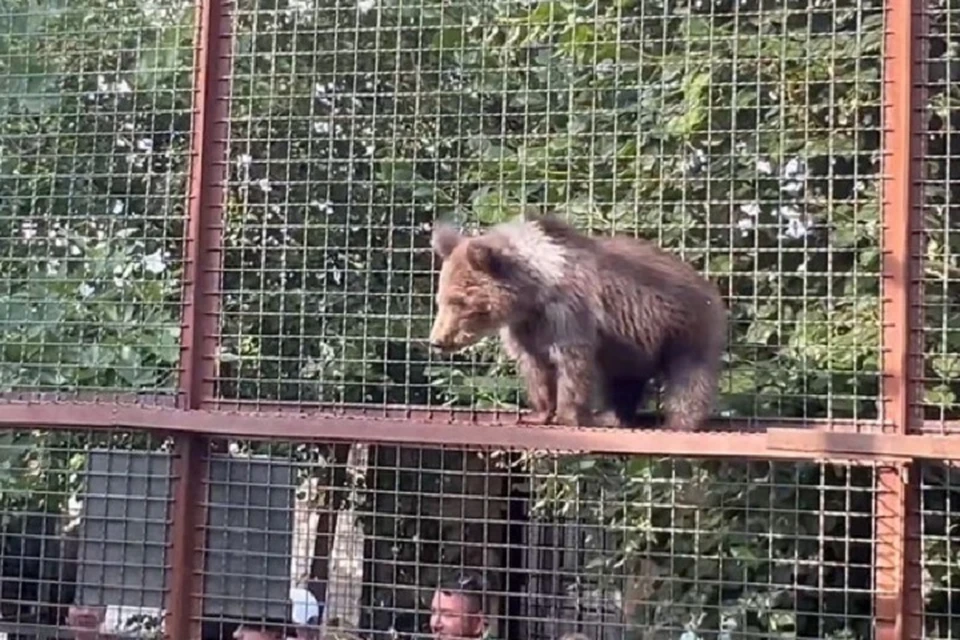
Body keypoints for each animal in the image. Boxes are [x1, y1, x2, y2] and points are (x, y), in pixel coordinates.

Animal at [428, 214, 728, 430]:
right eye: (441, 299)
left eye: (459, 302)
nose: (437, 341)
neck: (533, 293)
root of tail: (706, 283)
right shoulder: (525, 328)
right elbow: (536, 368)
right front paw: (539, 413)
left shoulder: (567, 314)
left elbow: (572, 364)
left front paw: (568, 415)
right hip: (632, 349)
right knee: (624, 382)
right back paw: (613, 415)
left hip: (684, 328)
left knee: (690, 375)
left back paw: (679, 422)